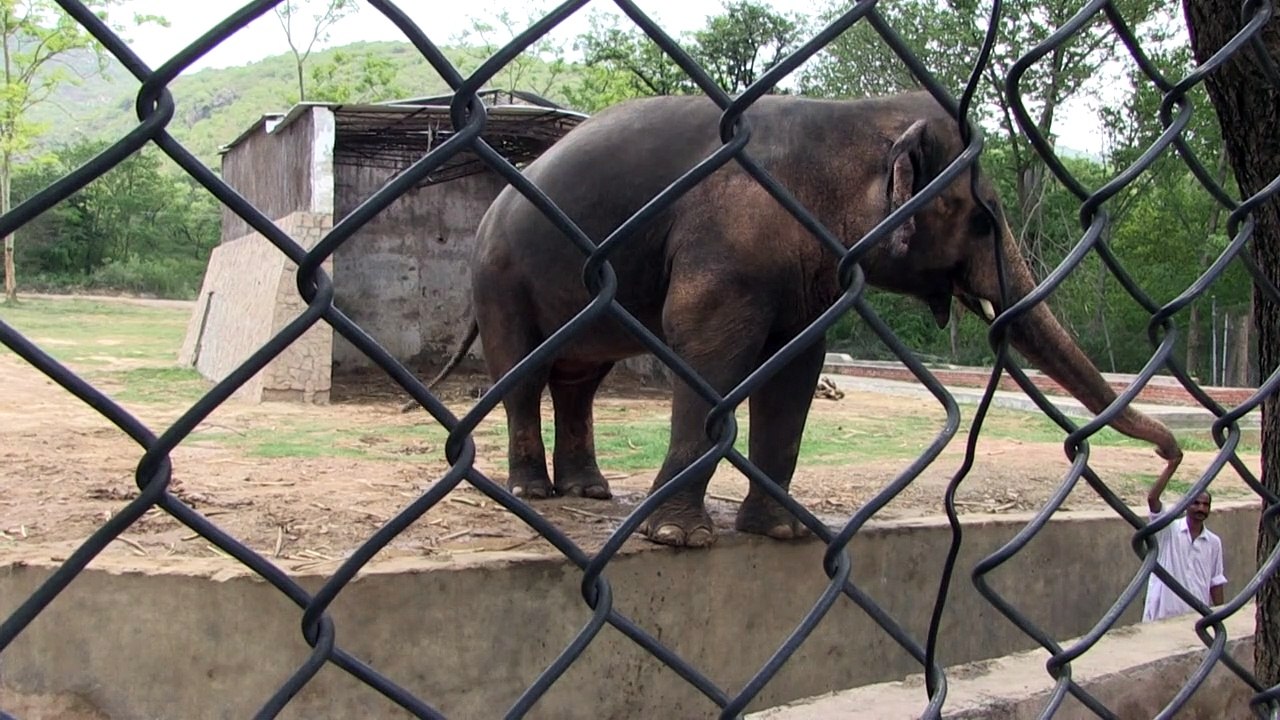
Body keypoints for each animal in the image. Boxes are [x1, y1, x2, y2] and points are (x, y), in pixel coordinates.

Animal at [425, 90, 1183, 548]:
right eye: (983, 220)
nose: (1164, 473)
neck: (850, 119)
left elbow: (794, 370)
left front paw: (781, 534)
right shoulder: (724, 245)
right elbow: (707, 356)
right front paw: (678, 540)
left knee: (580, 380)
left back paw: (589, 489)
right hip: (498, 278)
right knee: (523, 375)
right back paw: (536, 493)